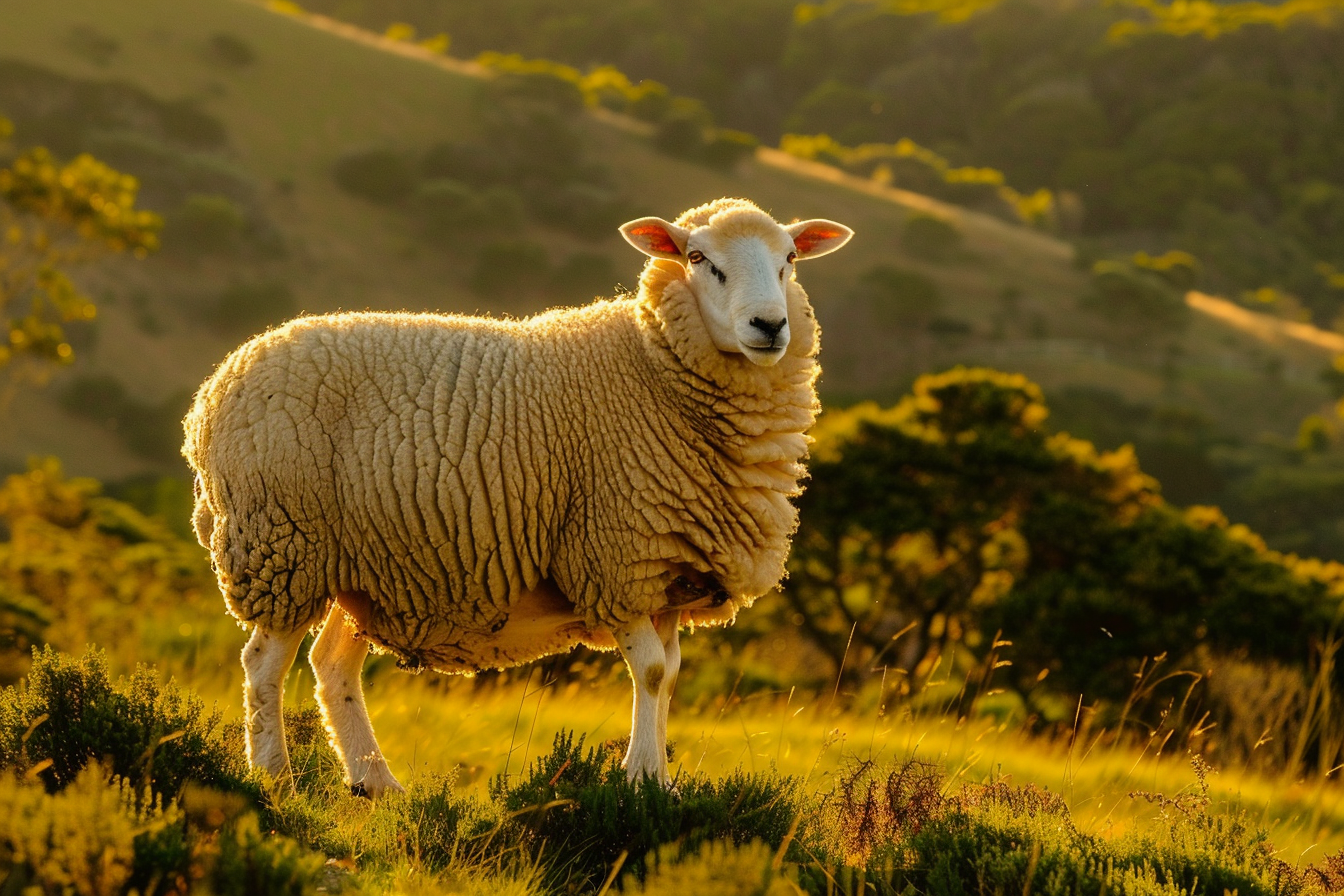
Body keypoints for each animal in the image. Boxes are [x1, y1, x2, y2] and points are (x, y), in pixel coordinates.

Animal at [182, 197, 853, 795]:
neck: (649, 362)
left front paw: (659, 779)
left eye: (791, 257)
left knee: (330, 665)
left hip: (368, 570)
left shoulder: (667, 570)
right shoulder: (612, 556)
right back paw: (273, 774)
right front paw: (642, 781)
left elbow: (668, 678)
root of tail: (213, 389)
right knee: (264, 663)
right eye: (697, 257)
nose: (770, 326)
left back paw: (375, 783)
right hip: (282, 543)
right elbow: (652, 671)